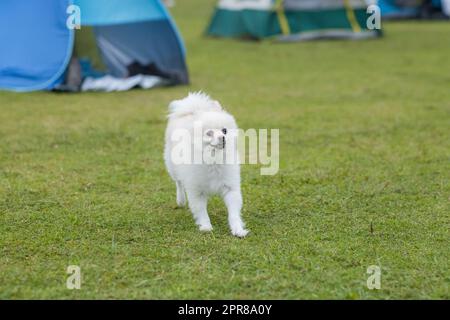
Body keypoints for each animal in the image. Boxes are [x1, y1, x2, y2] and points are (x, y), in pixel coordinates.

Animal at [164, 92, 250, 238]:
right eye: (209, 133)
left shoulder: (230, 188)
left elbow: (234, 213)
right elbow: (201, 211)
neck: (213, 160)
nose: (223, 138)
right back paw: (181, 200)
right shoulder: (196, 191)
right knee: (178, 183)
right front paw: (206, 227)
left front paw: (237, 229)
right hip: (173, 167)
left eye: (224, 130)